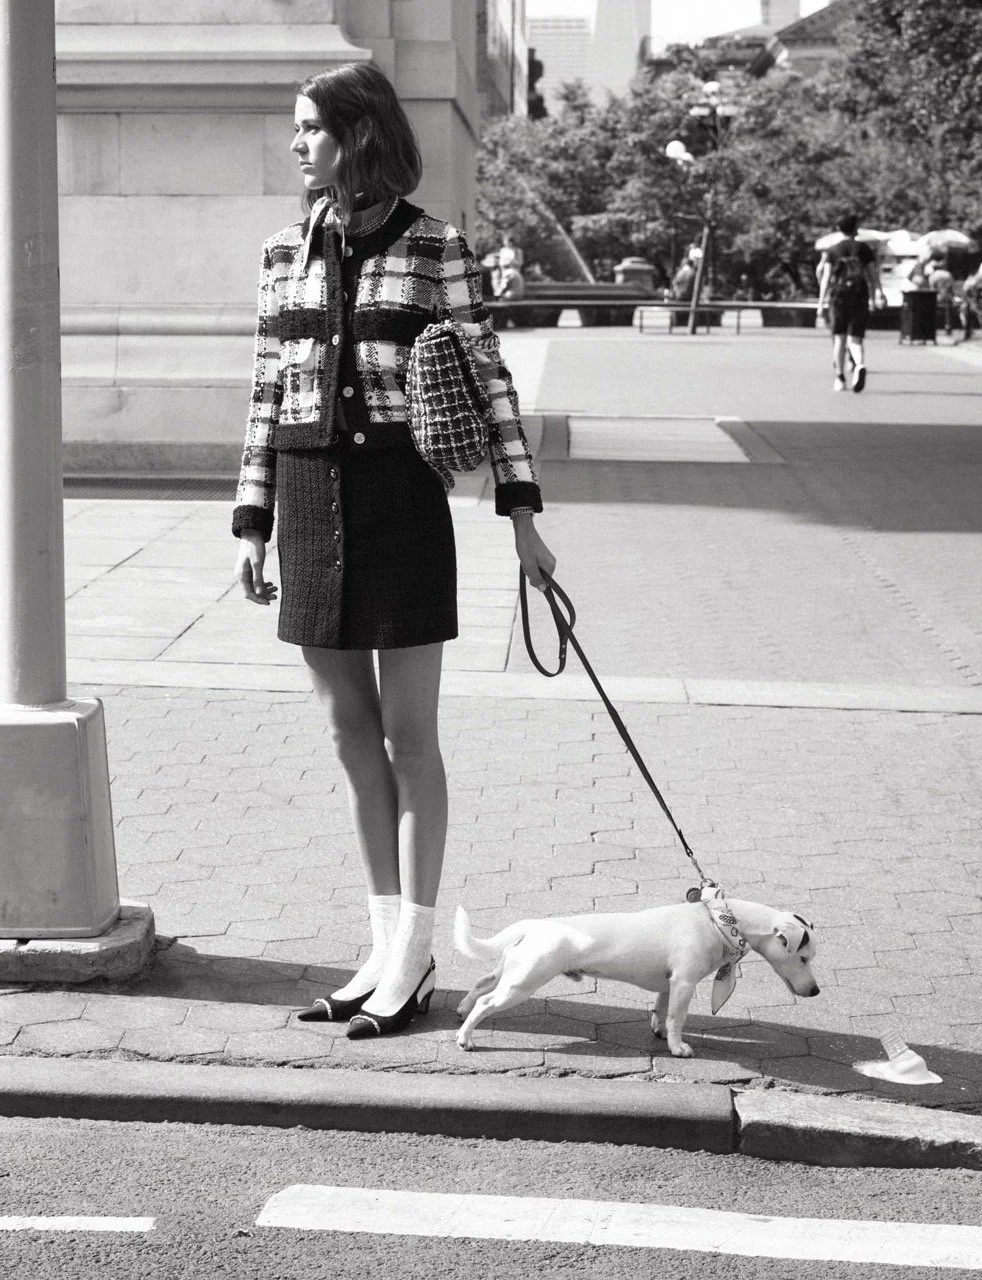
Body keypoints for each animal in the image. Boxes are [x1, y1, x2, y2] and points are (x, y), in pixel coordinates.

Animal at [455, 896, 819, 1054]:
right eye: (803, 957)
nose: (815, 992)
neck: (720, 921)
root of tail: (532, 925)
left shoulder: (670, 983)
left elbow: (662, 1010)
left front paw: (659, 1032)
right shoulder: (685, 983)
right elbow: (677, 1018)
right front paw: (677, 1047)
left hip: (510, 970)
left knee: (481, 984)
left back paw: (461, 1010)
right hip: (523, 983)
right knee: (487, 1002)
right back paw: (465, 1038)